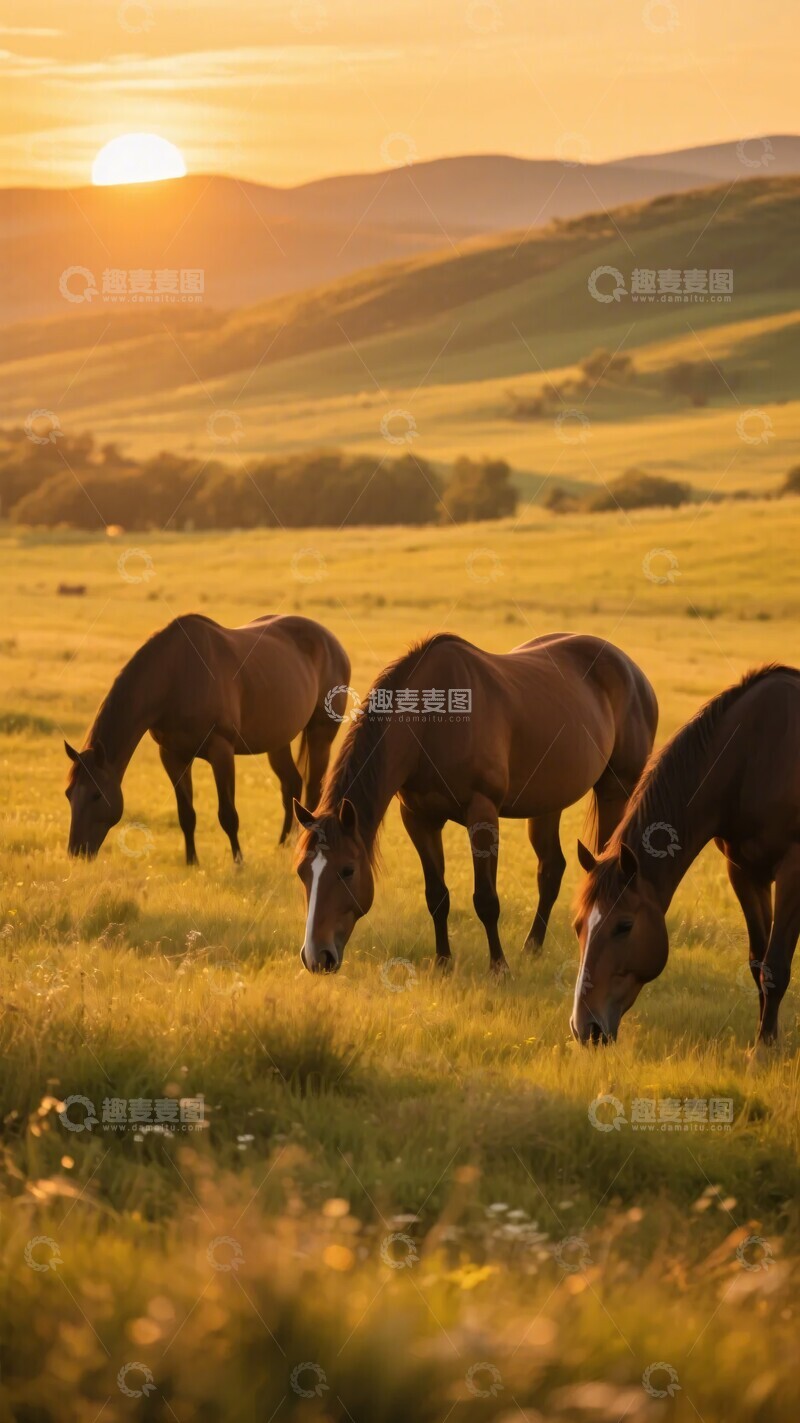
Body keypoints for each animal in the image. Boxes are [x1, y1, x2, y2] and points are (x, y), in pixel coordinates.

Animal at [64, 613, 350, 863]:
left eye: (96, 795)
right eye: (69, 794)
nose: (76, 852)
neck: (175, 676)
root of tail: (333, 643)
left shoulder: (221, 751)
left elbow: (228, 815)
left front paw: (238, 863)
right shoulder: (172, 756)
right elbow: (186, 814)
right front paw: (192, 862)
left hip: (320, 735)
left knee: (312, 790)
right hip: (278, 741)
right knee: (291, 784)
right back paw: (282, 846)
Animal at [293, 631, 657, 974]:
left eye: (347, 870)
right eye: (301, 871)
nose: (316, 957)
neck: (430, 724)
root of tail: (633, 672)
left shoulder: (482, 814)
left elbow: (485, 899)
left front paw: (499, 967)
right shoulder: (419, 818)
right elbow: (436, 895)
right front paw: (442, 962)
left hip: (616, 791)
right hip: (547, 803)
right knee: (551, 869)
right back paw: (532, 948)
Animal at [571, 664, 800, 1049]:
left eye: (624, 926)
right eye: (578, 926)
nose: (584, 1027)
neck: (753, 755)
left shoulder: (791, 872)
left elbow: (777, 965)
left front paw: (763, 1051)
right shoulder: (744, 872)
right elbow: (759, 962)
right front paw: (769, 1038)